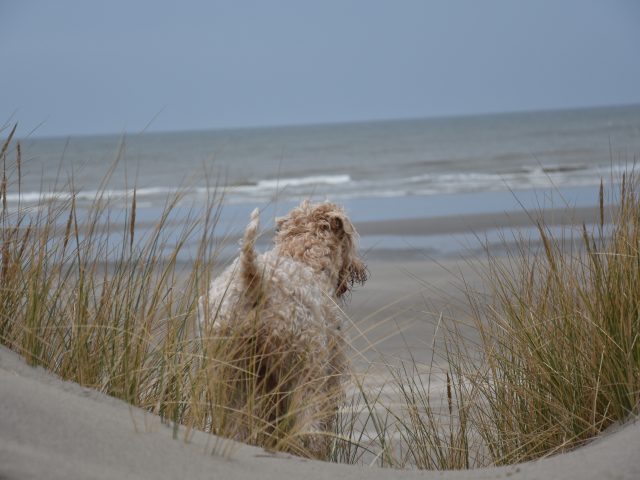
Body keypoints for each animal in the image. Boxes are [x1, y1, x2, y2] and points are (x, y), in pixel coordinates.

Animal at [200, 199, 370, 458]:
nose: (359, 269)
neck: (305, 258)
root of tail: (253, 279)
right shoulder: (330, 372)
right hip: (303, 370)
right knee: (308, 429)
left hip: (227, 373)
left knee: (230, 423)